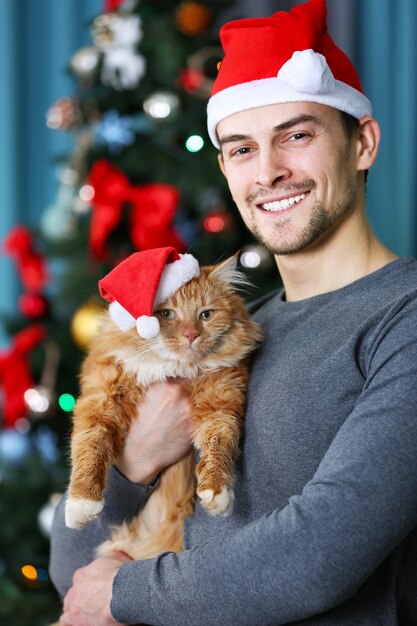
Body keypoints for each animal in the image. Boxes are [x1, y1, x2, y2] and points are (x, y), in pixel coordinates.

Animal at [64, 246, 260, 560]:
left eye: (206, 315)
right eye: (166, 314)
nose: (191, 334)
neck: (176, 370)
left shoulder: (221, 403)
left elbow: (218, 446)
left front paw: (217, 493)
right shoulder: (99, 401)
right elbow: (89, 450)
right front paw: (81, 505)